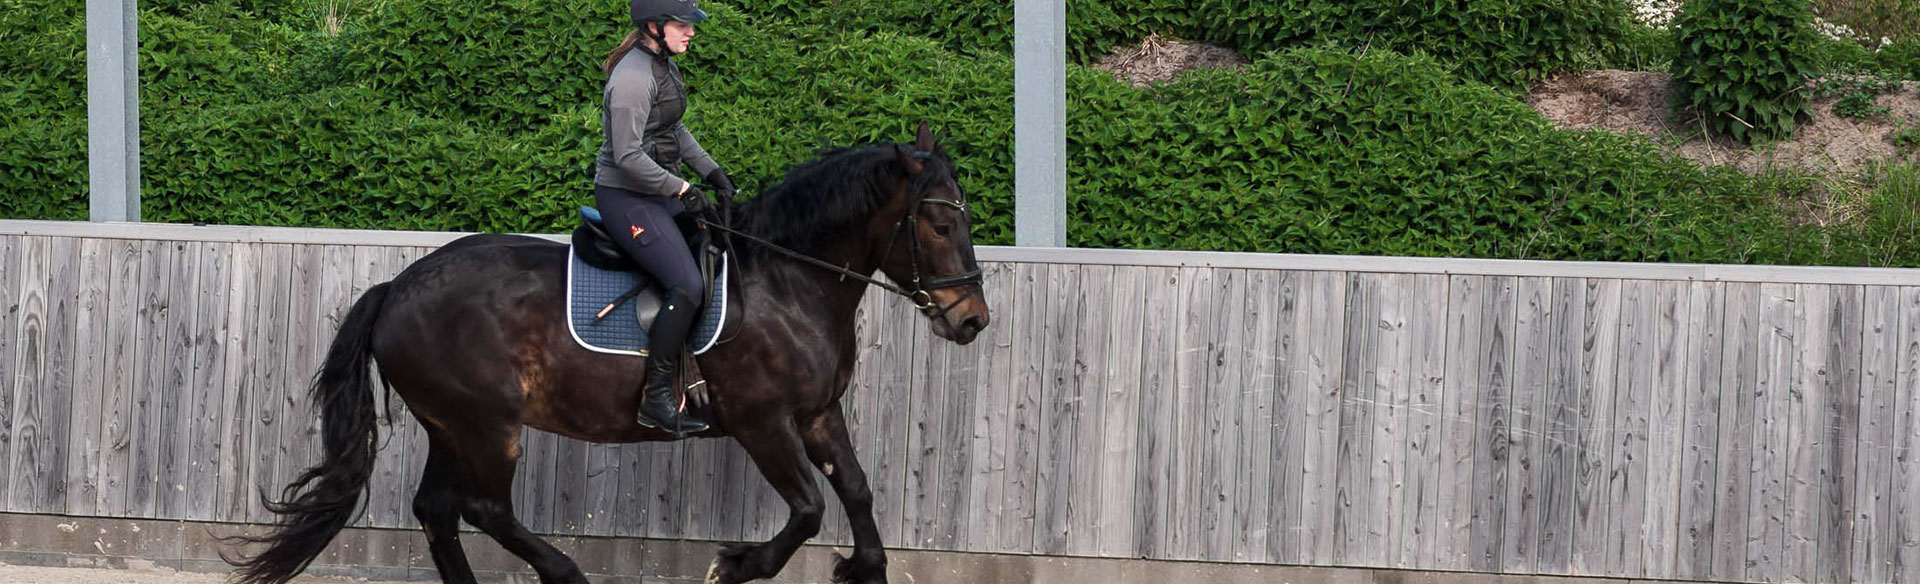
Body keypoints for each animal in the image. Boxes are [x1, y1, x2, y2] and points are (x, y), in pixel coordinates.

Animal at [228, 123, 990, 584]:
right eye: (939, 223)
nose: (973, 321)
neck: (786, 279)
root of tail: (397, 288)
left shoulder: (816, 414)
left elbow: (855, 491)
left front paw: (864, 566)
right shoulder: (762, 422)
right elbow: (807, 508)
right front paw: (734, 565)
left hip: (450, 425)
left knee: (439, 511)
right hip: (486, 424)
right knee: (484, 507)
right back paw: (565, 571)